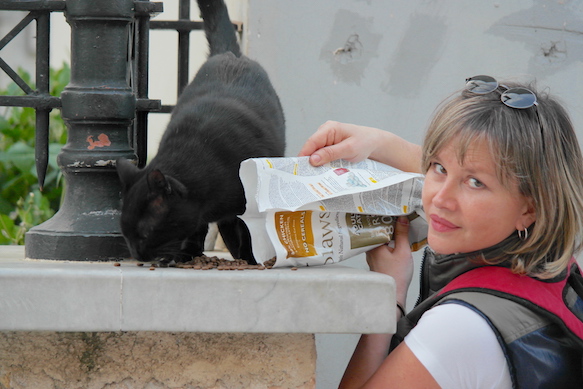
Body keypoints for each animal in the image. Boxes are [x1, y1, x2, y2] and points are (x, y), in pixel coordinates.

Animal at [116, 0, 286, 264]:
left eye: (144, 234)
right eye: (125, 234)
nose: (137, 255)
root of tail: (229, 54)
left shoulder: (248, 204)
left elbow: (247, 231)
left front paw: (248, 259)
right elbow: (196, 228)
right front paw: (186, 254)